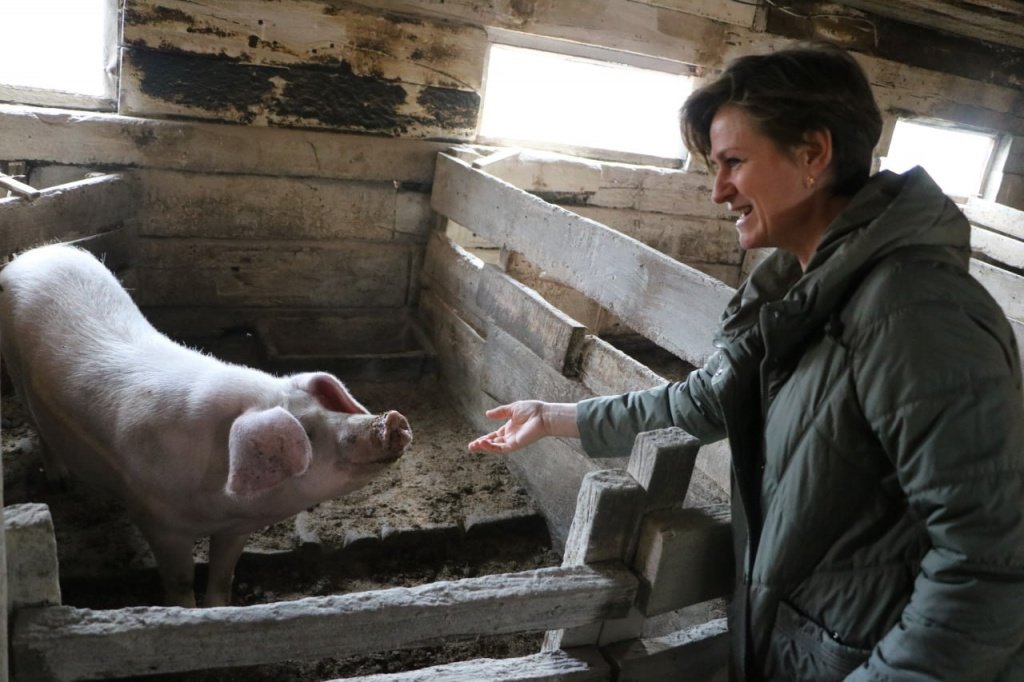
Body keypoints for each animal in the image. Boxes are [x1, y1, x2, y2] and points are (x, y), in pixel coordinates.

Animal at [0, 241, 411, 602]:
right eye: (306, 432)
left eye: (330, 408)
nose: (391, 419)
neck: (216, 502)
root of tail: (31, 254)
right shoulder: (157, 521)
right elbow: (180, 582)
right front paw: (184, 611)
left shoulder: (236, 526)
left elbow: (224, 575)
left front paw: (220, 608)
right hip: (17, 376)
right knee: (40, 430)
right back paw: (60, 483)